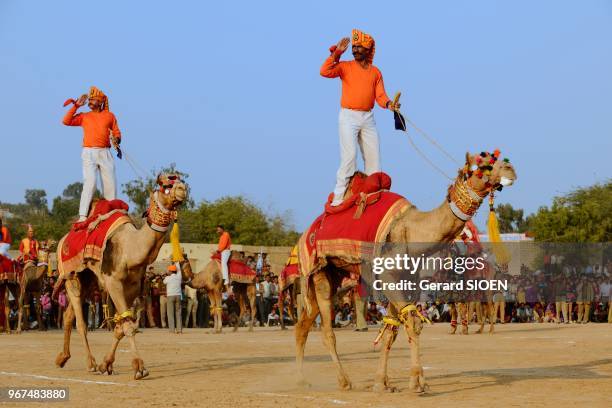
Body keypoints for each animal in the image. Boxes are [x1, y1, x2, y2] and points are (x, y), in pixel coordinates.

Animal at [54, 174, 189, 380]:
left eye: (180, 181)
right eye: (165, 185)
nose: (183, 189)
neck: (130, 249)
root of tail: (63, 240)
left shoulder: (132, 286)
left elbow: (121, 326)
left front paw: (107, 365)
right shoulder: (113, 282)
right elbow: (128, 326)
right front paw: (139, 368)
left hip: (89, 280)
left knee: (69, 315)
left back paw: (63, 358)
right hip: (71, 277)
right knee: (80, 322)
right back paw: (90, 364)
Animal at [296, 152, 516, 392]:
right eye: (484, 165)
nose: (510, 168)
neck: (413, 230)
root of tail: (305, 234)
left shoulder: (405, 279)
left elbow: (391, 330)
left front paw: (382, 383)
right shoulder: (387, 277)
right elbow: (412, 322)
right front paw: (416, 382)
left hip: (337, 279)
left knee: (302, 325)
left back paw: (303, 379)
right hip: (320, 273)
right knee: (327, 331)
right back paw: (343, 381)